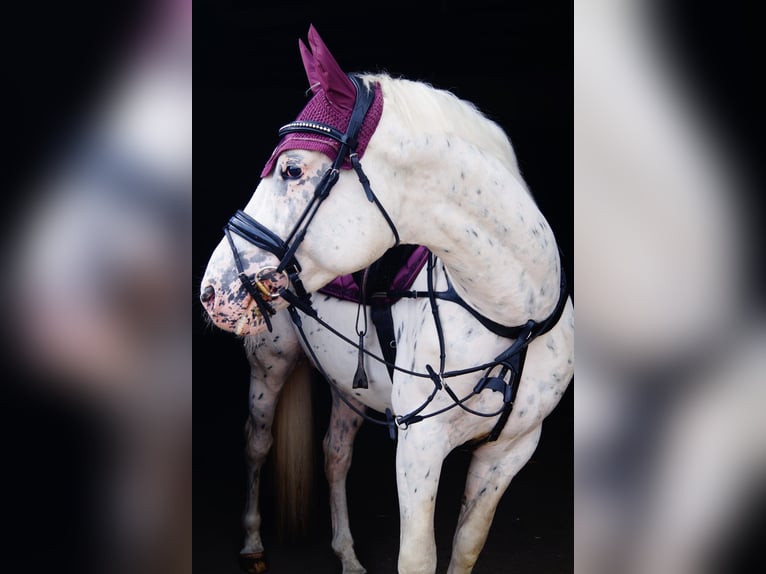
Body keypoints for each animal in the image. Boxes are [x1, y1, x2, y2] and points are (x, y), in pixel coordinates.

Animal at [200, 25, 573, 574]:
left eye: (291, 170)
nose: (212, 289)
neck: (511, 316)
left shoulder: (511, 451)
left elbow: (467, 545)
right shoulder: (419, 449)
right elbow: (418, 557)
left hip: (348, 383)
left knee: (335, 455)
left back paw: (348, 554)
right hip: (270, 366)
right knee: (256, 444)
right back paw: (252, 543)